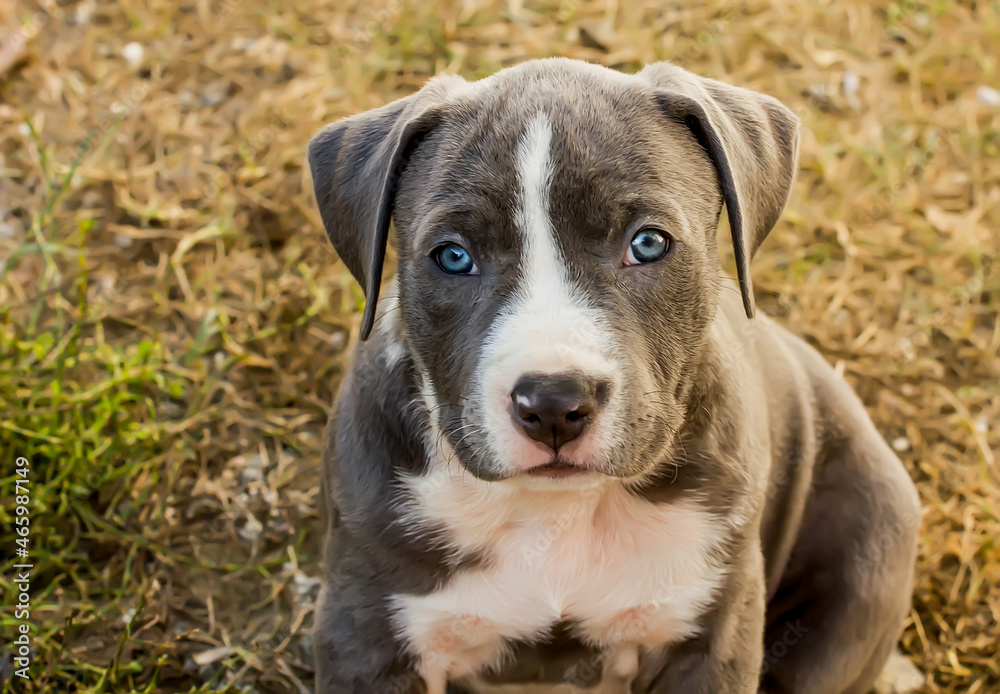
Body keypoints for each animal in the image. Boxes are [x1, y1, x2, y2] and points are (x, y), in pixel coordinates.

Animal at [306, 57, 920, 692]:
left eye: (647, 243)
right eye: (453, 257)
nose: (553, 402)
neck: (560, 513)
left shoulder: (713, 637)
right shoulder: (367, 634)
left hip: (868, 554)